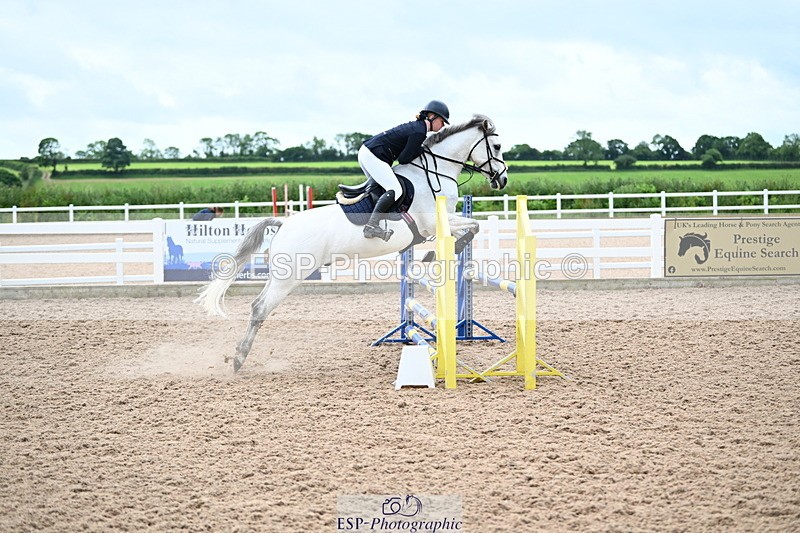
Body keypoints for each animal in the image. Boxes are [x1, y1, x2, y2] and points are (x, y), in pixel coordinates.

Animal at [195, 114, 509, 372]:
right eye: (497, 147)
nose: (502, 180)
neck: (433, 174)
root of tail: (284, 224)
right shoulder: (433, 224)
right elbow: (472, 227)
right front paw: (443, 252)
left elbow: (472, 227)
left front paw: (436, 253)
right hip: (290, 276)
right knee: (261, 308)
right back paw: (239, 359)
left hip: (282, 275)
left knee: (257, 305)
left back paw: (239, 355)